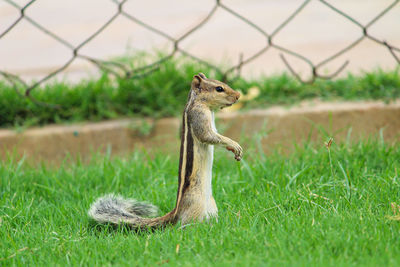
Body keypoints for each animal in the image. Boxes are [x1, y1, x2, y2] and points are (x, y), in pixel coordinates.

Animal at [88, 73, 242, 228]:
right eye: (219, 88)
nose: (238, 96)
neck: (199, 103)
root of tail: (177, 211)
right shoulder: (198, 115)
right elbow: (207, 136)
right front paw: (234, 144)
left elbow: (215, 136)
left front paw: (233, 149)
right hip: (196, 203)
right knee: (183, 225)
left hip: (212, 204)